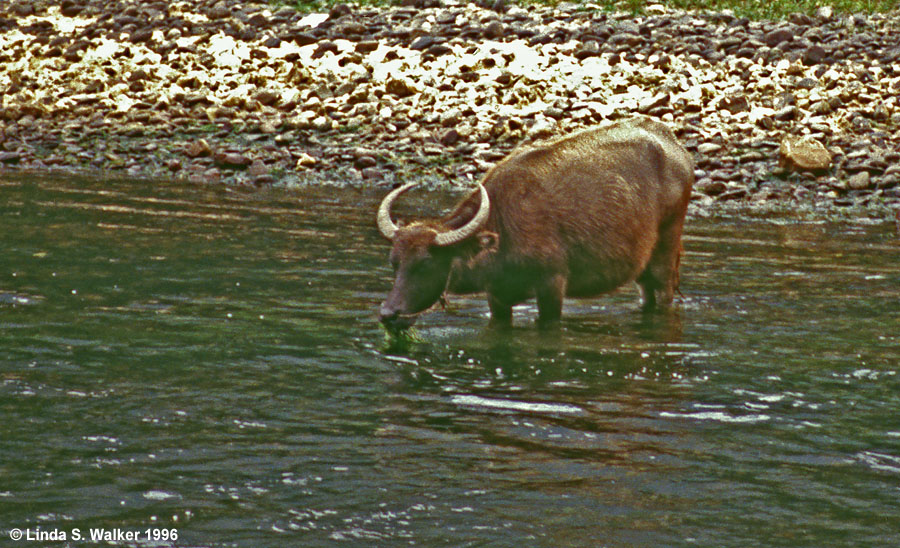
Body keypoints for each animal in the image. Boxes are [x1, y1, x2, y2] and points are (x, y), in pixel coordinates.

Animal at [376, 115, 692, 328]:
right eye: (394, 262)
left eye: (426, 263)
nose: (388, 314)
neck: (502, 227)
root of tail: (676, 146)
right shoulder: (497, 298)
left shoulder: (552, 286)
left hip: (666, 252)